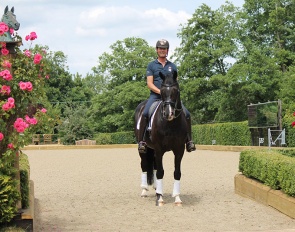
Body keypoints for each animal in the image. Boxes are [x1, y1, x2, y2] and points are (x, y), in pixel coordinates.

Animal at [134, 70, 187, 207]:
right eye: (162, 91)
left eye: (176, 90)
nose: (169, 113)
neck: (170, 124)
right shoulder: (158, 149)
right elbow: (160, 172)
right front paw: (159, 198)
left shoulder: (179, 150)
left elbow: (177, 172)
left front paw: (177, 198)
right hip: (144, 149)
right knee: (144, 165)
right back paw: (144, 190)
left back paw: (157, 188)